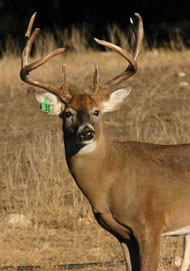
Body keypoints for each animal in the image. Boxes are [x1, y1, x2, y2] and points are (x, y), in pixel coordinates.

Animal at [19, 12, 190, 271]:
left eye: (96, 111)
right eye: (67, 114)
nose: (86, 133)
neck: (110, 183)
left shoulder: (151, 224)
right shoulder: (122, 235)